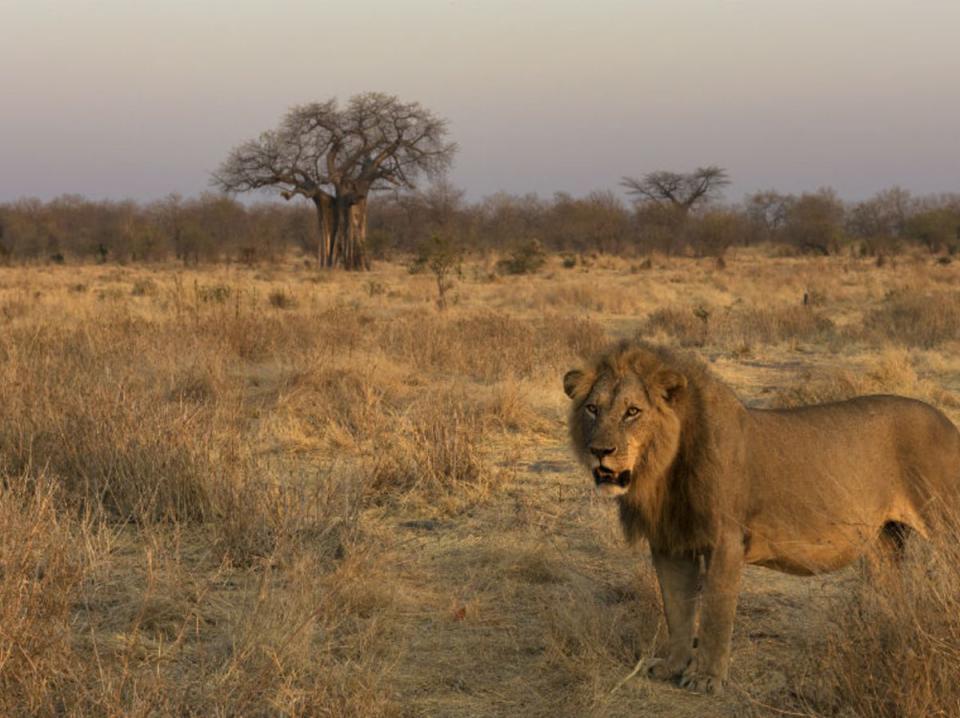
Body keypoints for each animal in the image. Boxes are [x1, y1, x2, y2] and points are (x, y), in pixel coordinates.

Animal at [564, 344, 960, 696]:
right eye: (592, 409)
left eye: (632, 411)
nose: (599, 451)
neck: (662, 471)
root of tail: (948, 422)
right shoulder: (671, 543)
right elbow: (676, 608)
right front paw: (672, 666)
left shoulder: (726, 540)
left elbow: (715, 613)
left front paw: (706, 679)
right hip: (884, 542)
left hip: (945, 527)